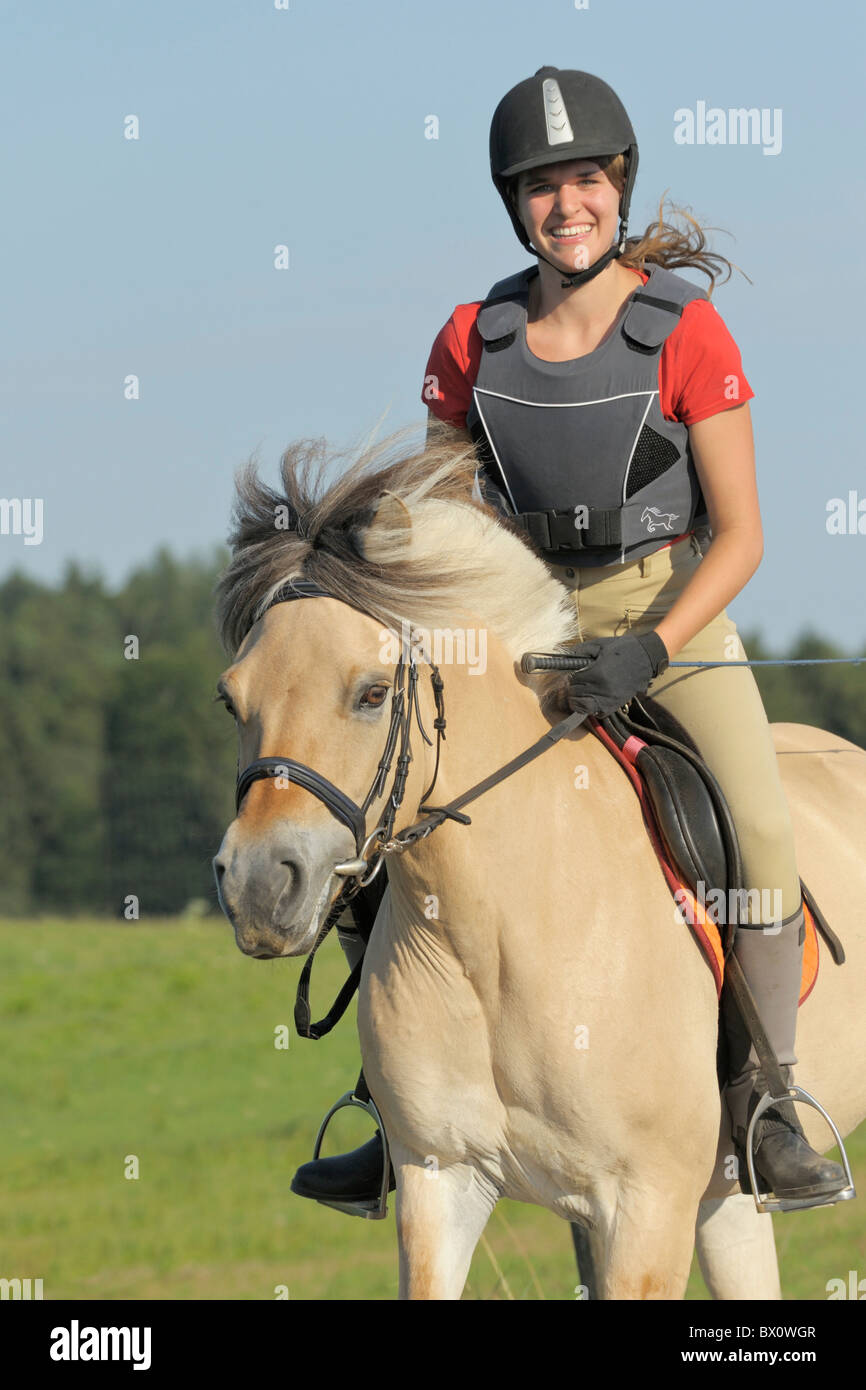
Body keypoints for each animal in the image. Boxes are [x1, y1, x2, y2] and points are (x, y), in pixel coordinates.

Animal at [211, 433, 866, 1301]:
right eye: (232, 700)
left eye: (373, 693)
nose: (258, 886)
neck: (493, 930)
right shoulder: (440, 1180)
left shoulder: (645, 1207)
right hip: (722, 1197)